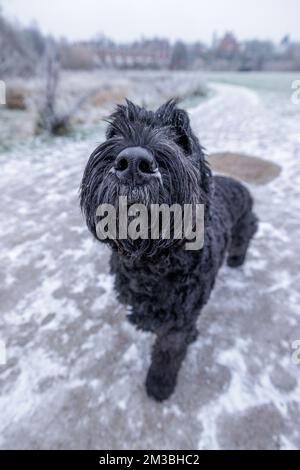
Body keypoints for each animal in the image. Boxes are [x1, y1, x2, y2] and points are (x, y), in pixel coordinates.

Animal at [80, 99, 258, 400]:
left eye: (181, 137)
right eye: (114, 131)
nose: (133, 162)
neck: (152, 264)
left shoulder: (178, 323)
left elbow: (168, 352)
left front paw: (159, 385)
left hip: (245, 225)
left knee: (242, 241)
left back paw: (236, 260)